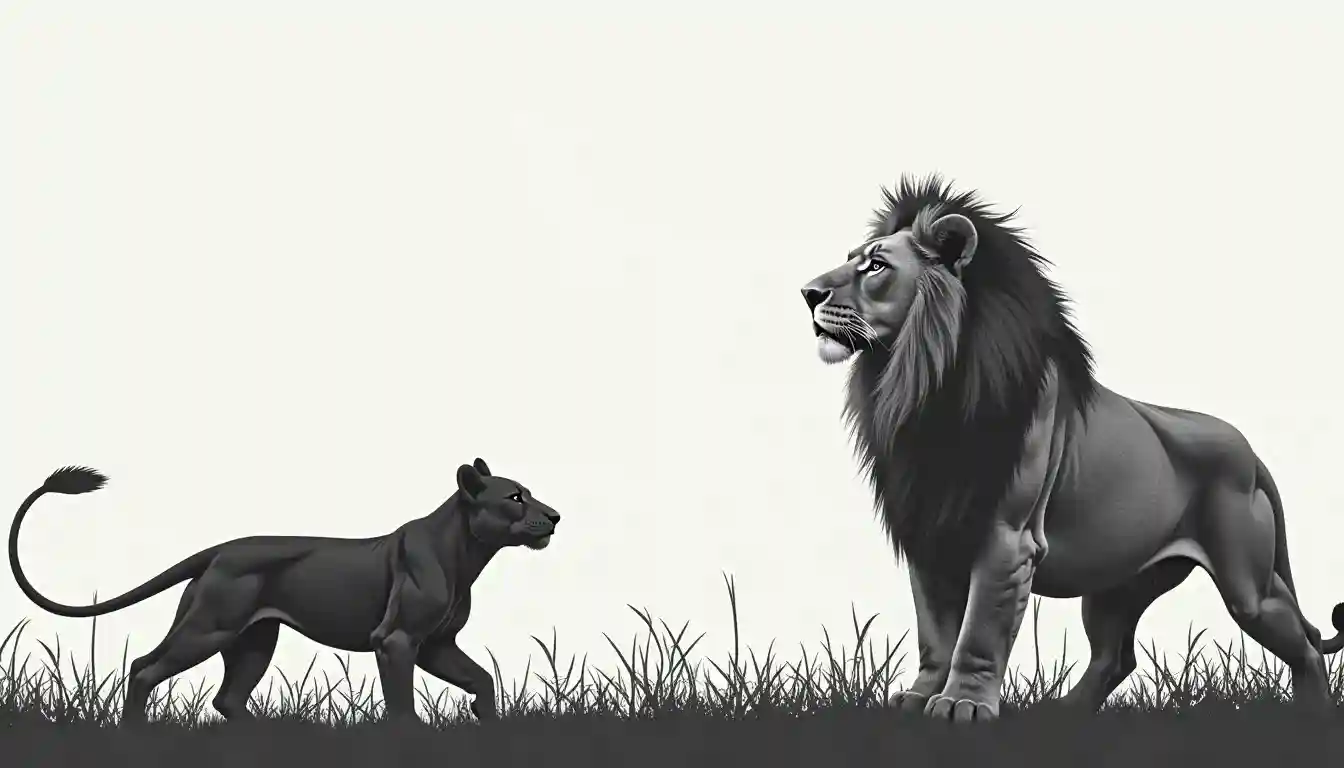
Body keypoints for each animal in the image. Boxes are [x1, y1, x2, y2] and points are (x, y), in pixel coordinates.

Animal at [8, 458, 560, 726]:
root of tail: (218, 550)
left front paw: (485, 721)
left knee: (227, 698)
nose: (554, 515)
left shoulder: (437, 645)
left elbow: (482, 678)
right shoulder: (398, 641)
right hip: (210, 628)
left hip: (254, 641)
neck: (466, 554)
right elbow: (403, 705)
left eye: (529, 494)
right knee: (145, 668)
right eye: (515, 497)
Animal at [800, 174, 1344, 722]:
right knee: (1116, 656)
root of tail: (1250, 451)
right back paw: (1063, 713)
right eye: (852, 258)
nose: (807, 293)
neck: (918, 384)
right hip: (1115, 583)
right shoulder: (929, 529)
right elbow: (935, 629)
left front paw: (962, 705)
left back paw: (1314, 713)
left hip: (1246, 586)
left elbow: (977, 633)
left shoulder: (1006, 539)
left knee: (1305, 641)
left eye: (876, 265)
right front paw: (919, 697)